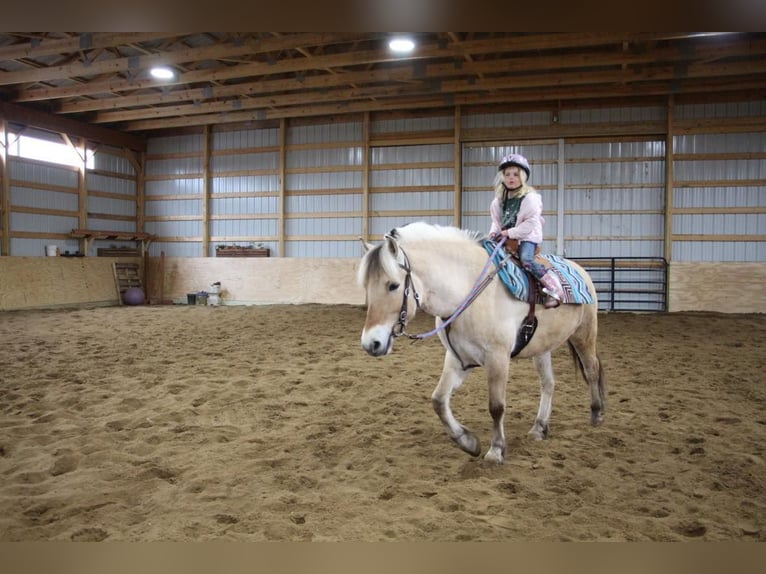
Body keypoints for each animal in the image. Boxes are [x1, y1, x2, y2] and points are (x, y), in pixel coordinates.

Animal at [358, 223, 608, 466]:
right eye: (366, 286)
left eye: (393, 285)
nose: (371, 343)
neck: (467, 293)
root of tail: (580, 270)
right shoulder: (458, 359)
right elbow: (438, 400)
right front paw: (468, 441)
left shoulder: (498, 358)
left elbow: (496, 406)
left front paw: (496, 450)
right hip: (542, 348)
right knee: (548, 383)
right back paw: (539, 427)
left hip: (584, 334)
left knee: (591, 370)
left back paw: (596, 415)